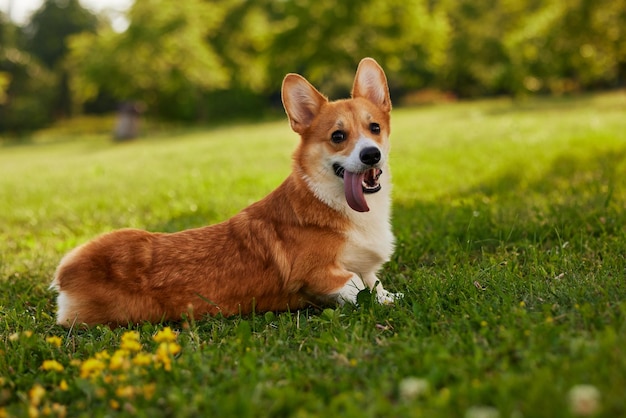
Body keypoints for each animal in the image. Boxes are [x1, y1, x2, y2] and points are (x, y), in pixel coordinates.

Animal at [50, 58, 400, 326]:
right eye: (338, 136)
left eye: (375, 128)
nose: (371, 155)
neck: (335, 201)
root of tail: (69, 272)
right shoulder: (314, 273)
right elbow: (352, 282)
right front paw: (379, 303)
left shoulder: (366, 267)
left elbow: (373, 281)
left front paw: (388, 296)